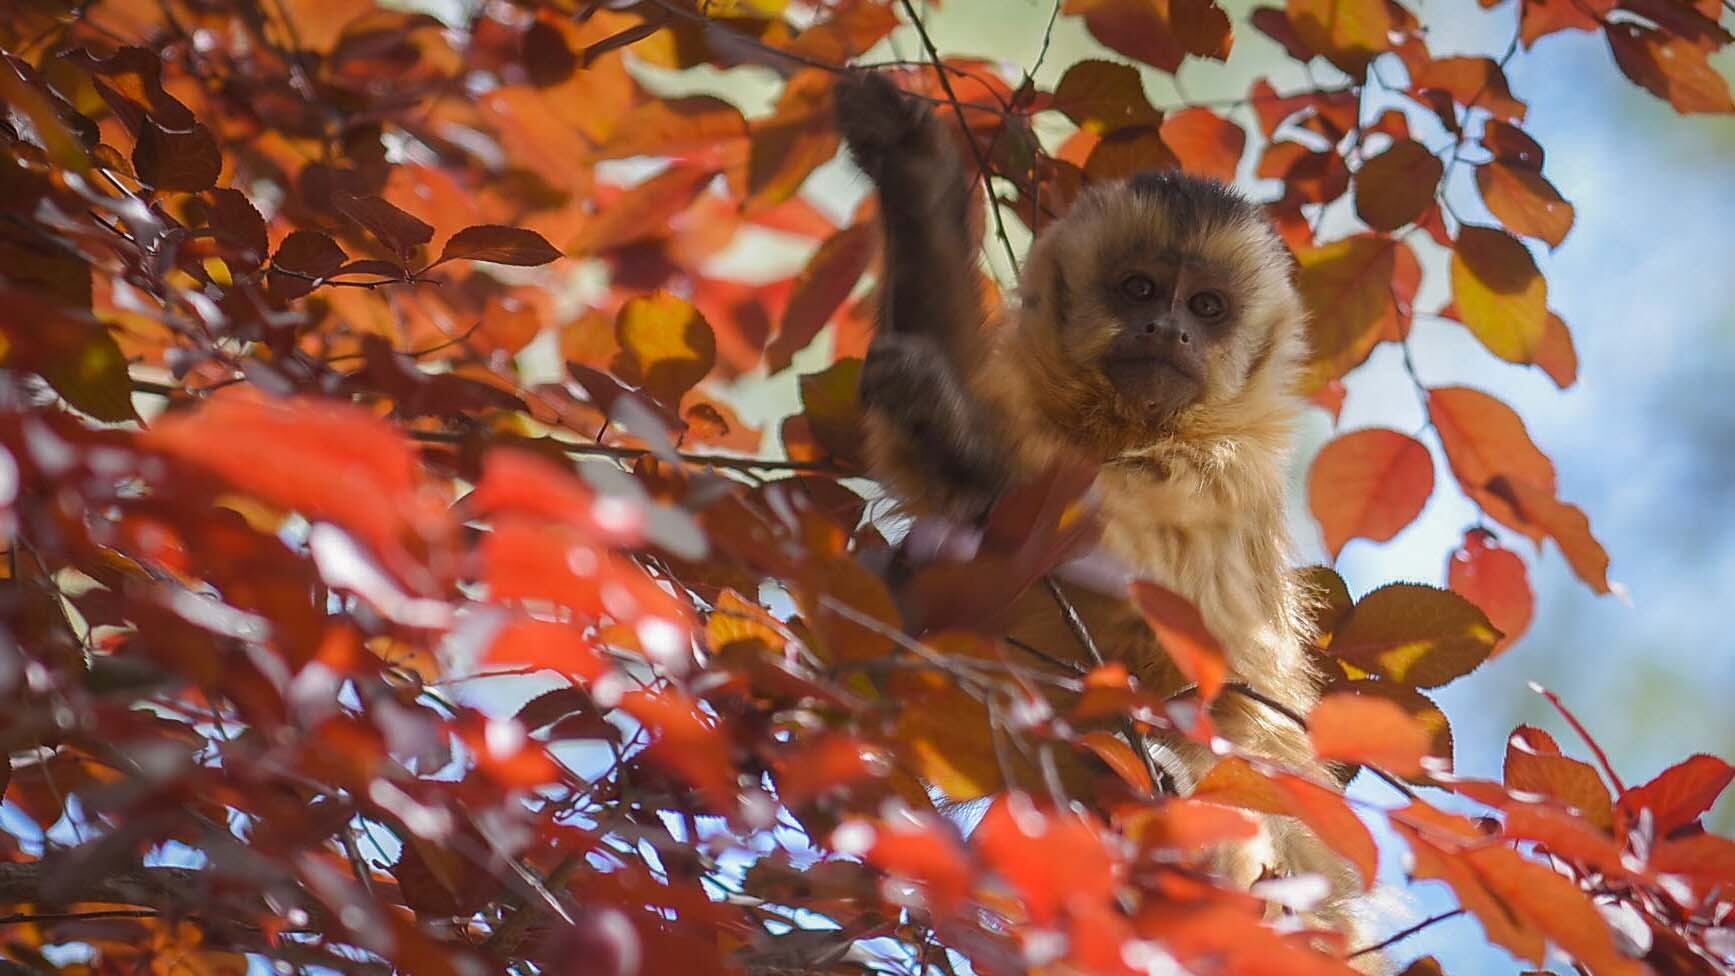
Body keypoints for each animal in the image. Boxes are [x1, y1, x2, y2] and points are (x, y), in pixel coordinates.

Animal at [832, 70, 1374, 956]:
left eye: (1208, 306)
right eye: (1140, 289)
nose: (1167, 328)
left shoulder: (1227, 471)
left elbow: (1115, 546)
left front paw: (953, 431)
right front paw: (912, 170)